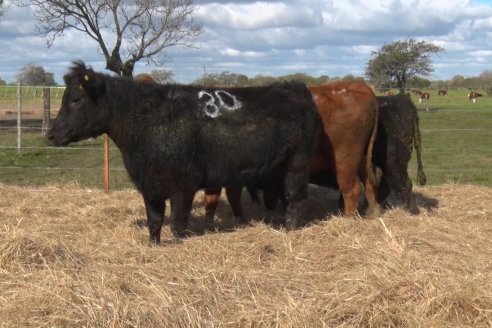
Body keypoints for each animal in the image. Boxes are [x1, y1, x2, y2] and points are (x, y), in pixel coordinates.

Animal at [48, 60, 320, 243]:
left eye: (76, 100)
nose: (50, 134)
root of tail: (293, 87)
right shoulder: (149, 185)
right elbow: (154, 222)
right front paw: (153, 245)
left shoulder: (183, 184)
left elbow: (178, 224)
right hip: (277, 168)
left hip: (297, 163)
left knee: (296, 198)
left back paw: (291, 229)